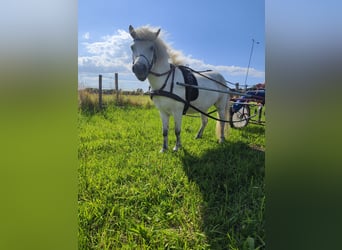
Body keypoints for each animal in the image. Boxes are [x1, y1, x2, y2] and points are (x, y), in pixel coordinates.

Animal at [129, 24, 230, 152]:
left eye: (152, 48)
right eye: (132, 47)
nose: (139, 69)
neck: (166, 81)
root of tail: (222, 78)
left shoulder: (177, 111)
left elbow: (177, 130)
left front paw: (177, 147)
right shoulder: (162, 112)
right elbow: (165, 131)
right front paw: (164, 149)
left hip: (220, 105)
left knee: (222, 122)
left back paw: (221, 139)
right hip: (203, 107)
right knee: (205, 121)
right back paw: (198, 135)